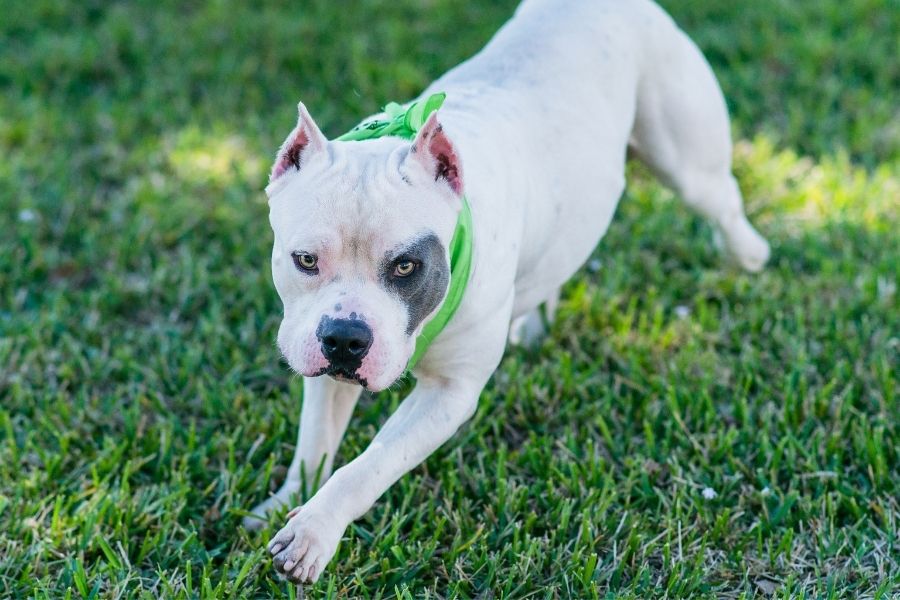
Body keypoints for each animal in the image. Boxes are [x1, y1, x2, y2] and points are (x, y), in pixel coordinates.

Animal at [250, 0, 768, 584]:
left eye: (407, 266)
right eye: (305, 260)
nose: (344, 339)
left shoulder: (448, 394)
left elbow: (368, 467)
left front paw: (314, 531)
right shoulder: (325, 364)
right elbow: (315, 444)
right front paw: (283, 503)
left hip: (687, 161)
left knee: (721, 200)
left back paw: (749, 253)